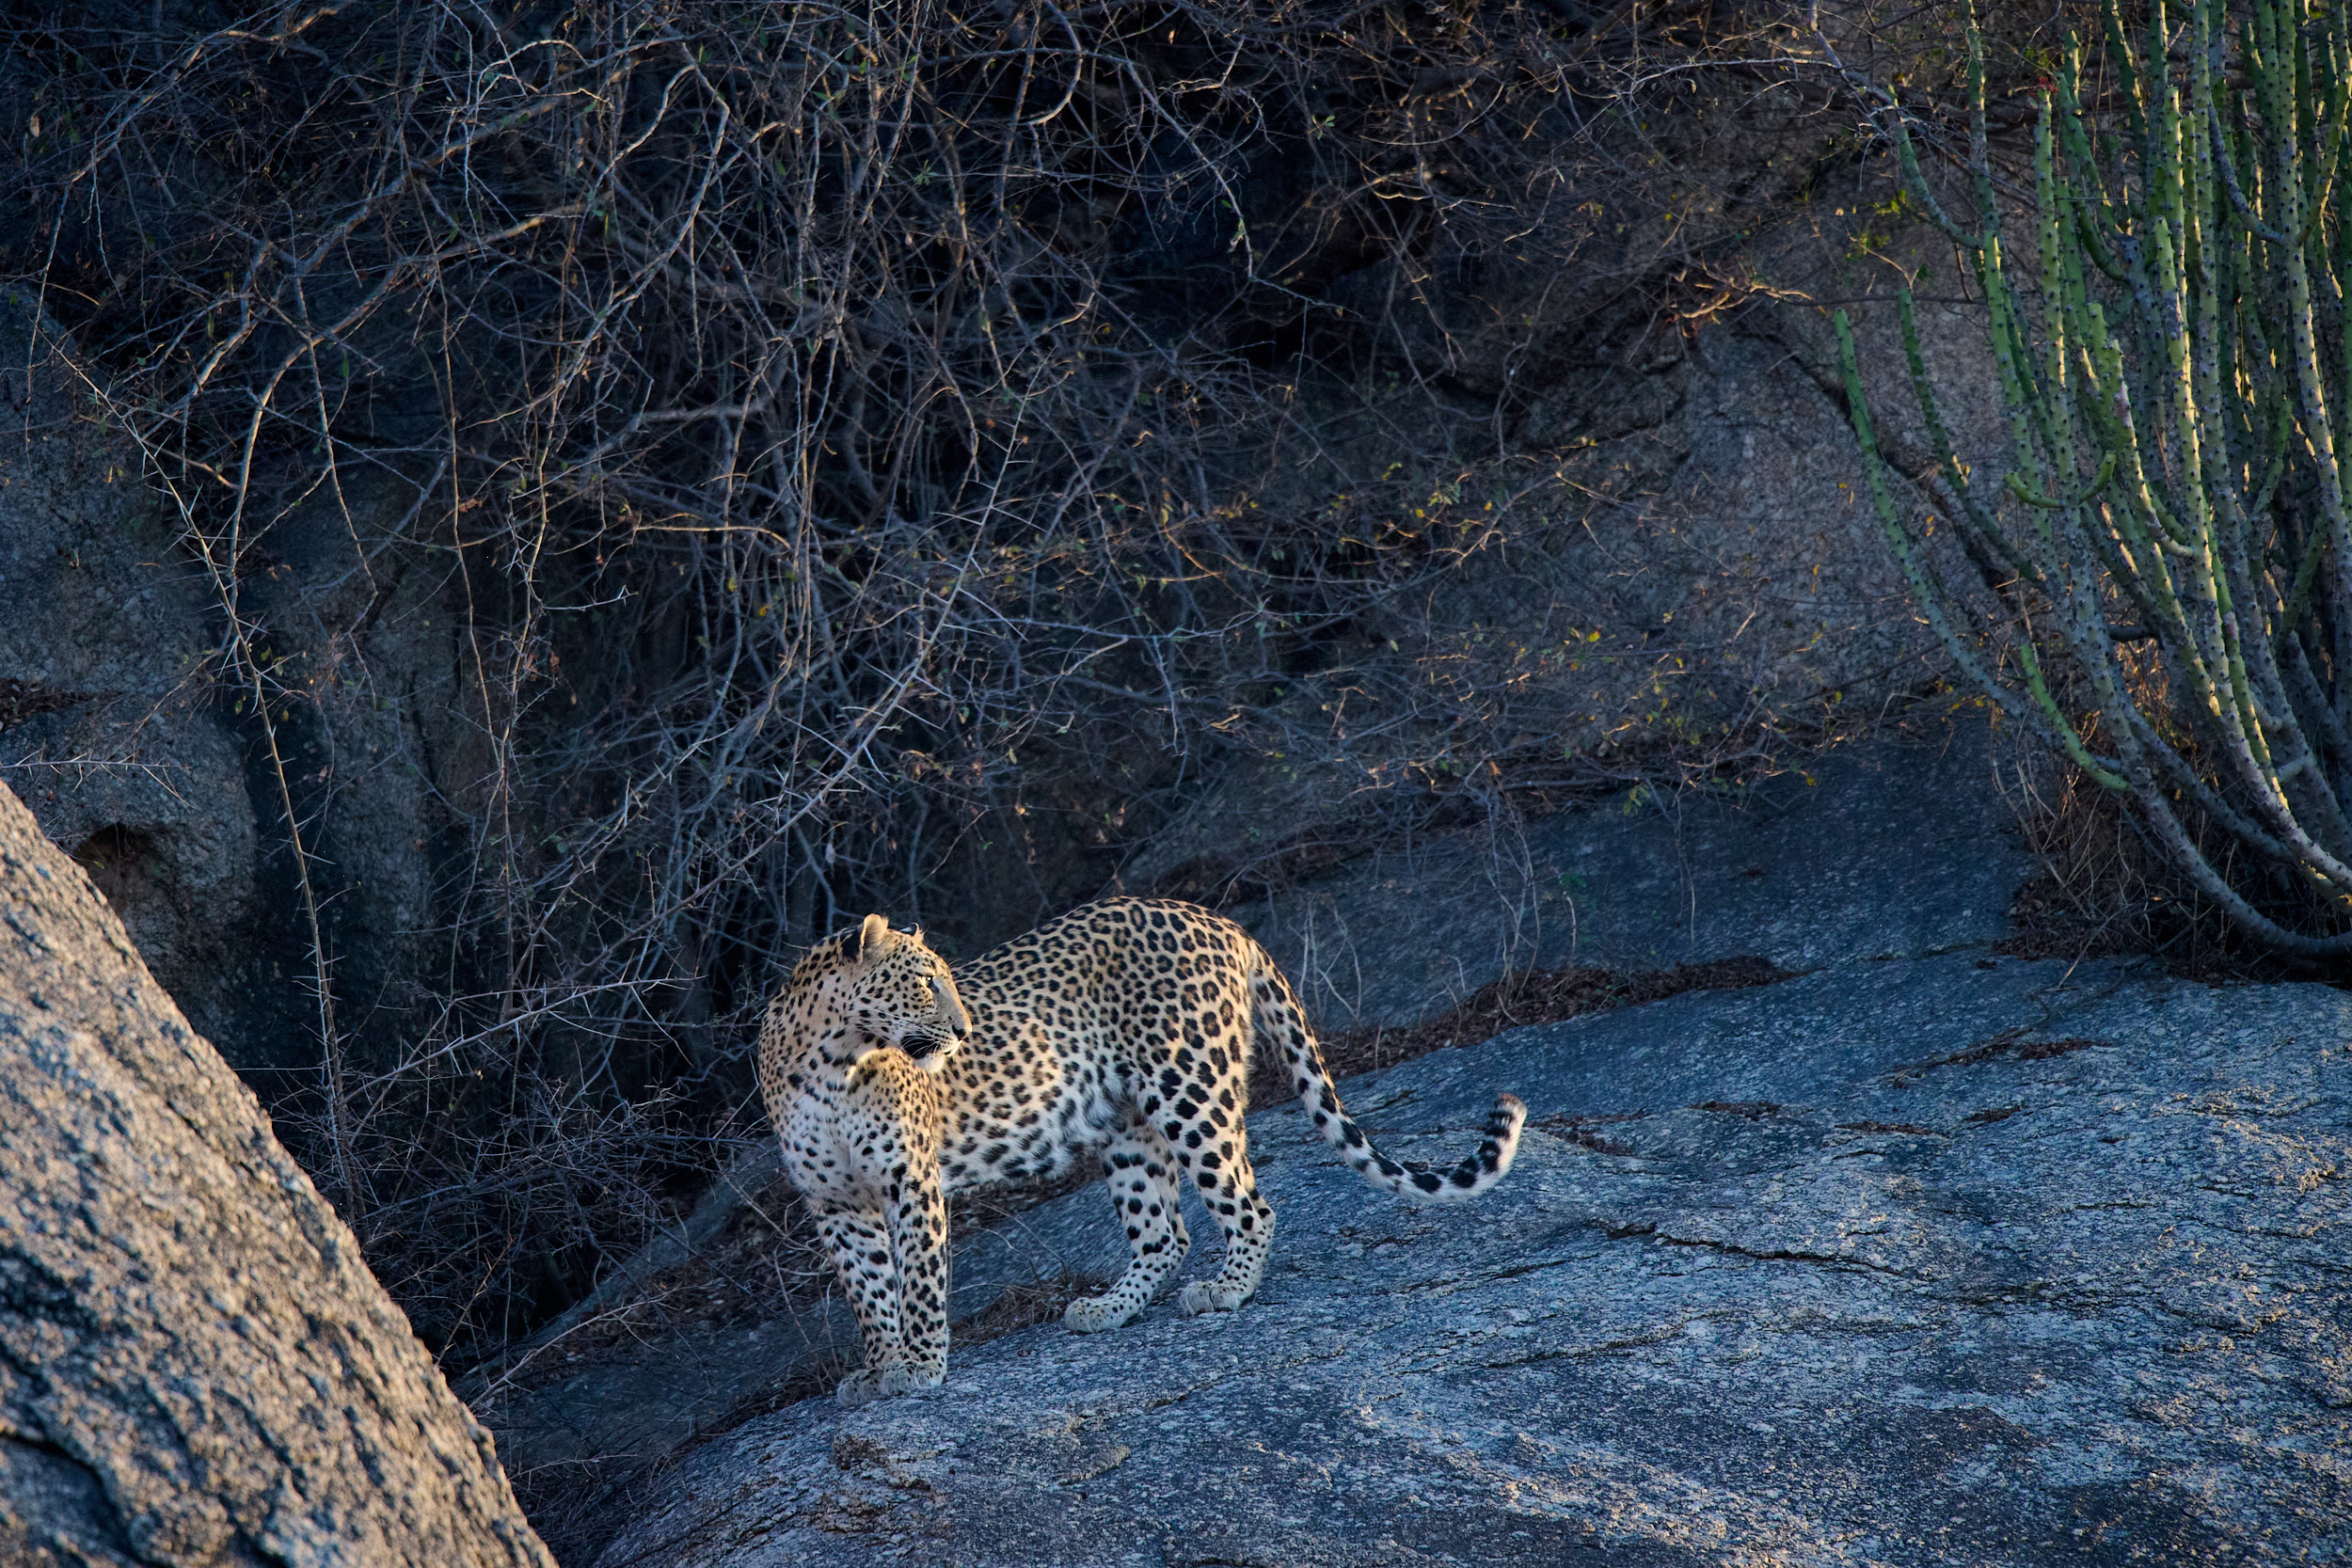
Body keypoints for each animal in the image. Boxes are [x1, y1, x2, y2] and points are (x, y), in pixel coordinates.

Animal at [759, 897, 1525, 1405]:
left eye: (946, 978)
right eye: (923, 980)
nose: (963, 1028)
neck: (833, 1059)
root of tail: (1218, 920)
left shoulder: (908, 1179)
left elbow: (916, 1281)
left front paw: (918, 1364)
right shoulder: (835, 1204)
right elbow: (868, 1293)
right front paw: (879, 1368)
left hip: (1189, 1087)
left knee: (1250, 1205)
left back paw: (1227, 1289)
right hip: (1125, 1124)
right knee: (1165, 1232)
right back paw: (1107, 1309)